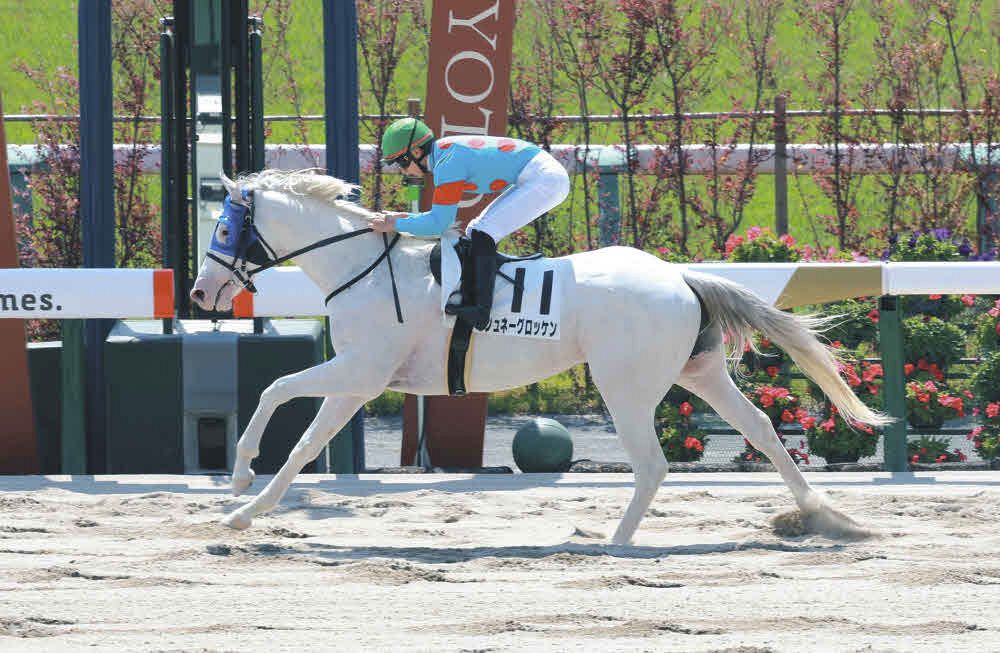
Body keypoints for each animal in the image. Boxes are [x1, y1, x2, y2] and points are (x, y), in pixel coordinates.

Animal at [190, 169, 889, 544]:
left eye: (223, 228)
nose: (199, 292)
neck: (360, 264)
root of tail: (684, 277)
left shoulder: (361, 373)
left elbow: (282, 403)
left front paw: (241, 491)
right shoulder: (357, 378)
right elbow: (294, 420)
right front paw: (243, 501)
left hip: (625, 385)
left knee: (653, 463)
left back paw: (613, 542)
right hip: (700, 373)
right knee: (763, 429)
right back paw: (821, 515)